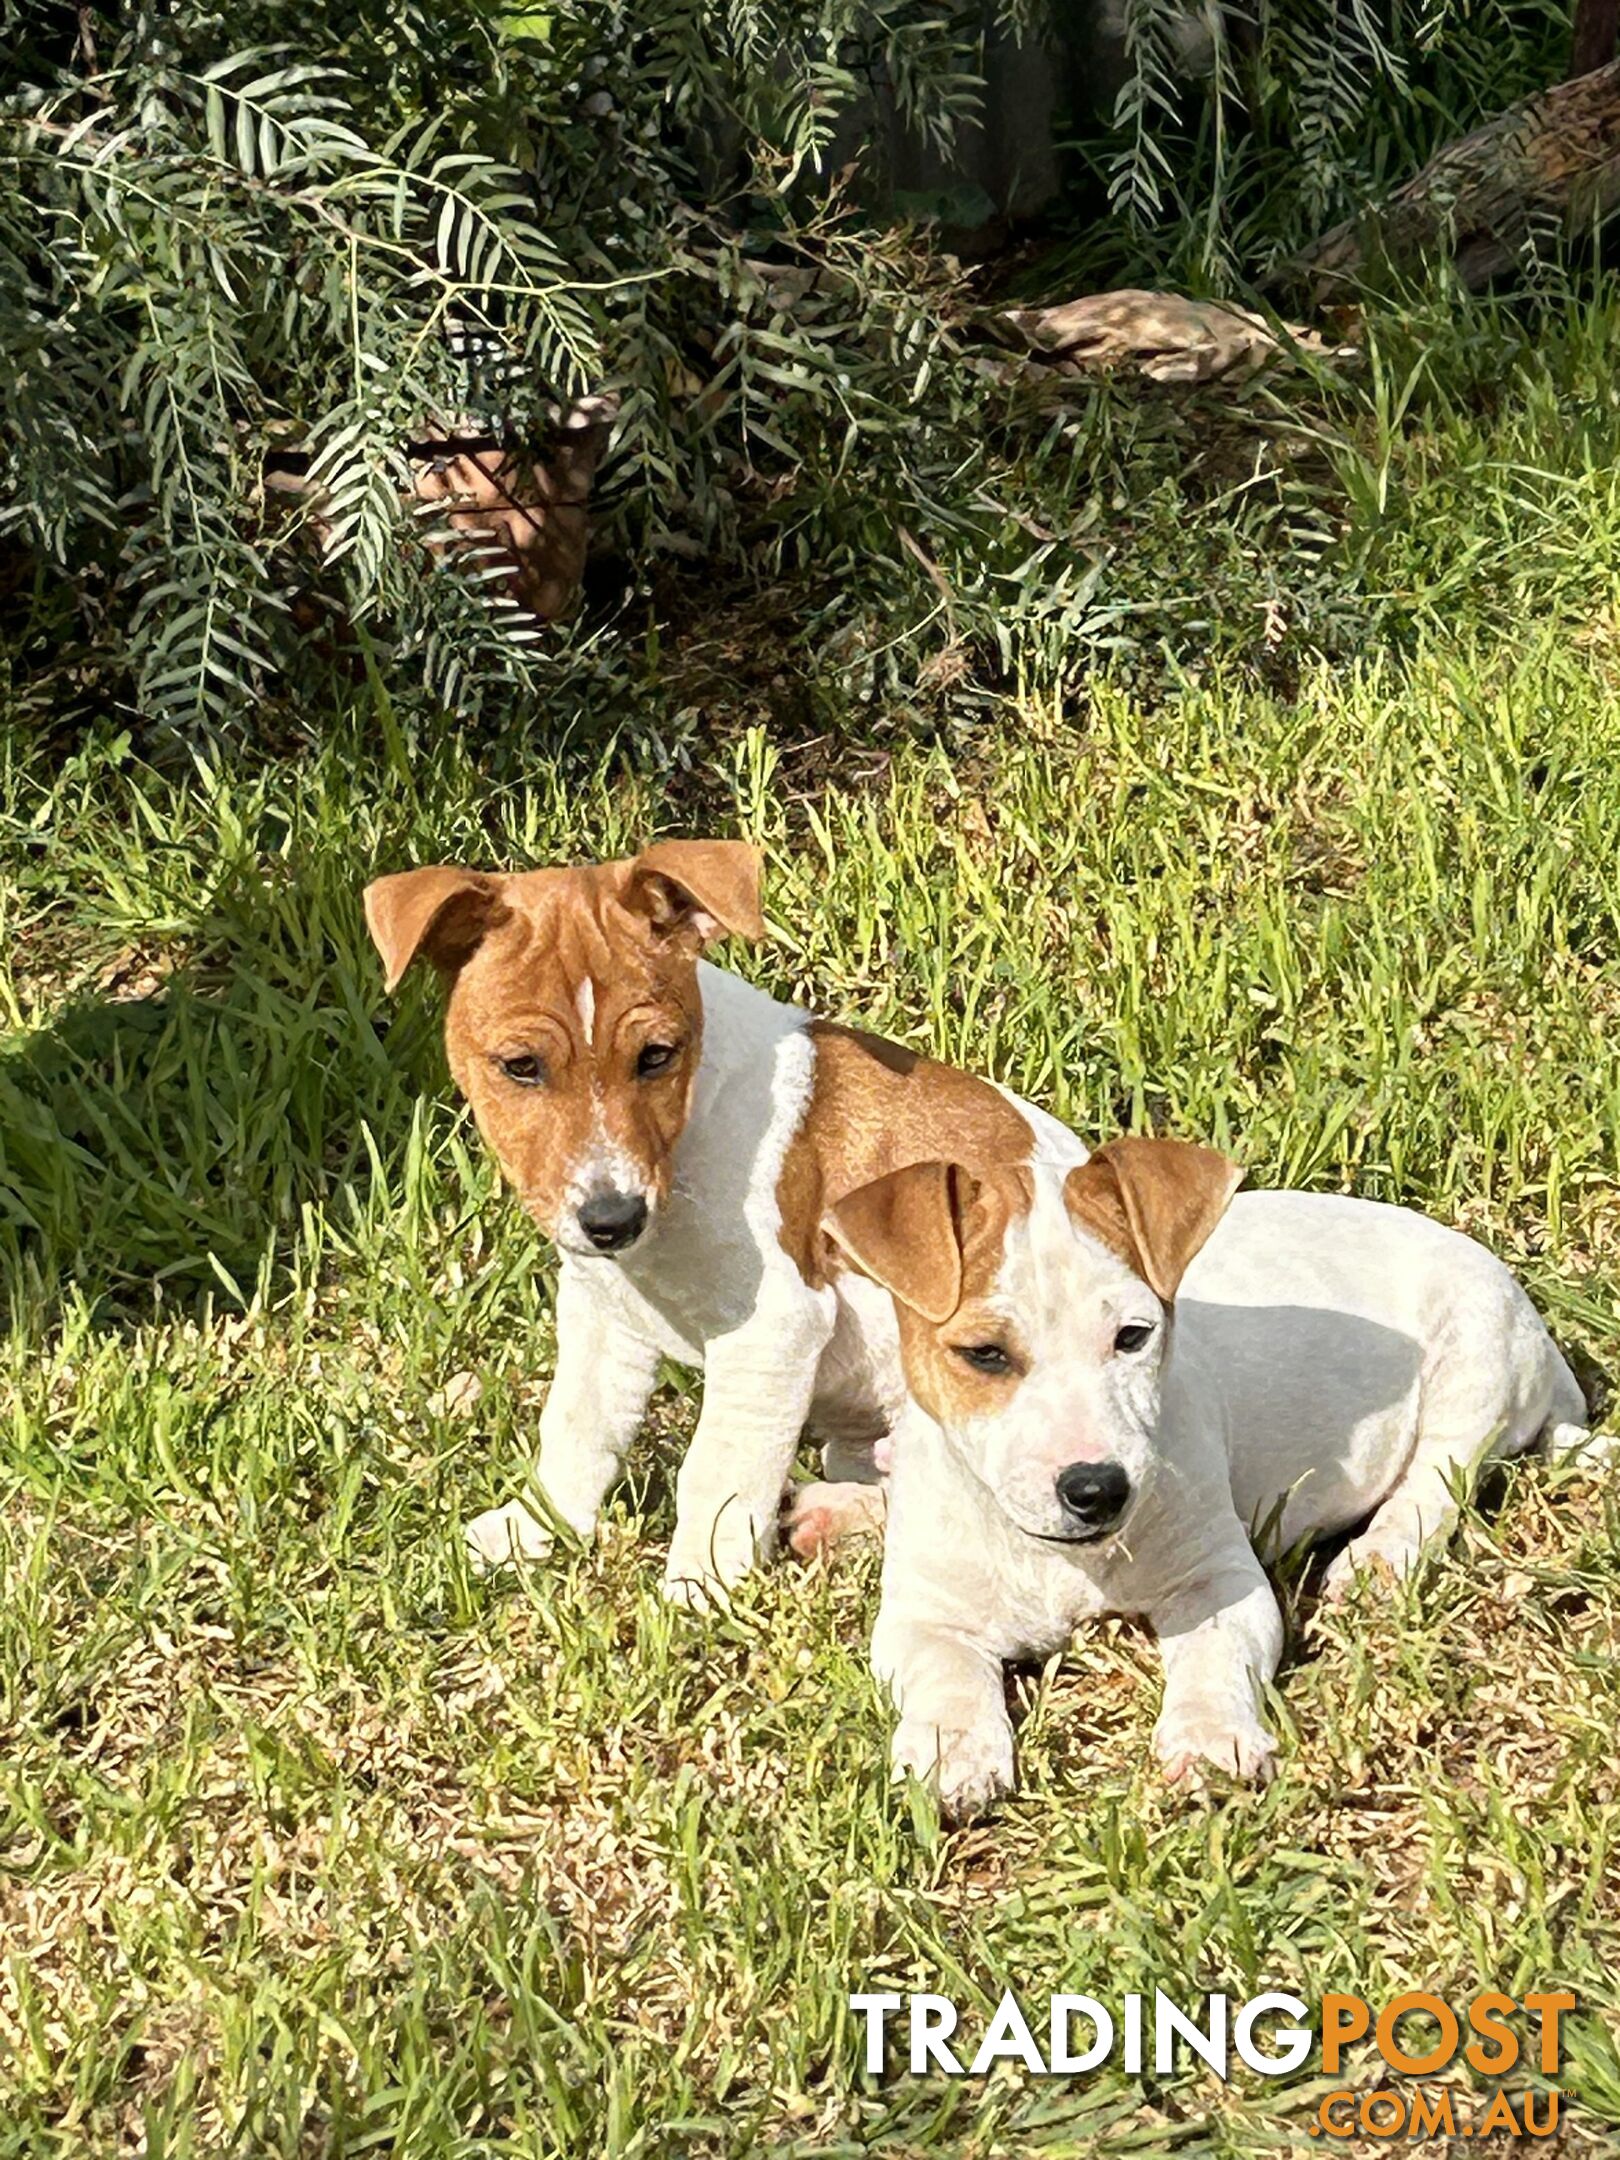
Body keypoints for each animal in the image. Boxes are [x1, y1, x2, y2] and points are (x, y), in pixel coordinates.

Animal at [360, 842, 1084, 1607]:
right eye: (520, 1067)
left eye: (656, 1055)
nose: (613, 1220)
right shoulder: (602, 1312)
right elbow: (576, 1429)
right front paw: (530, 1531)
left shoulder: (773, 1326)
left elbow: (719, 1467)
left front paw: (698, 1586)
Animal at [825, 1140, 1615, 1814]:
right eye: (984, 1355)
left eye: (1133, 1337)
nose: (1098, 1488)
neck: (1058, 1561)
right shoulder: (924, 1615)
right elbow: (946, 1676)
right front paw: (951, 1752)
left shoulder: (1220, 1581)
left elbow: (1214, 1658)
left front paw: (1209, 1742)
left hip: (1477, 1354)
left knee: (1436, 1481)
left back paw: (1377, 1557)